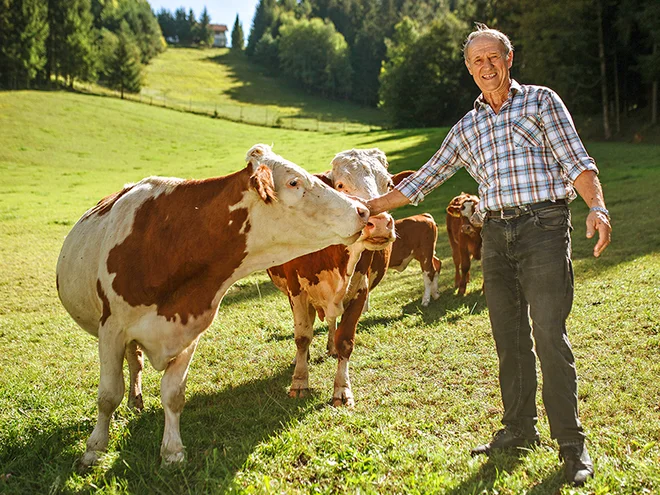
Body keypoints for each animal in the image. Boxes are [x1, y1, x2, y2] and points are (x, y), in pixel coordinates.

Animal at [55, 144, 372, 468]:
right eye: (294, 182)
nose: (362, 211)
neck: (173, 241)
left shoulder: (188, 328)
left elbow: (173, 394)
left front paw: (172, 451)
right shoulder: (111, 329)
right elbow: (108, 394)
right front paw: (94, 448)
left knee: (135, 359)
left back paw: (136, 401)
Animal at [266, 147, 404, 406]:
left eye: (389, 184)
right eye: (340, 185)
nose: (380, 224)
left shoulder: (360, 290)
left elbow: (345, 341)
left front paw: (342, 390)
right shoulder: (296, 289)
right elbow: (302, 336)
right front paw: (299, 382)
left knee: (331, 323)